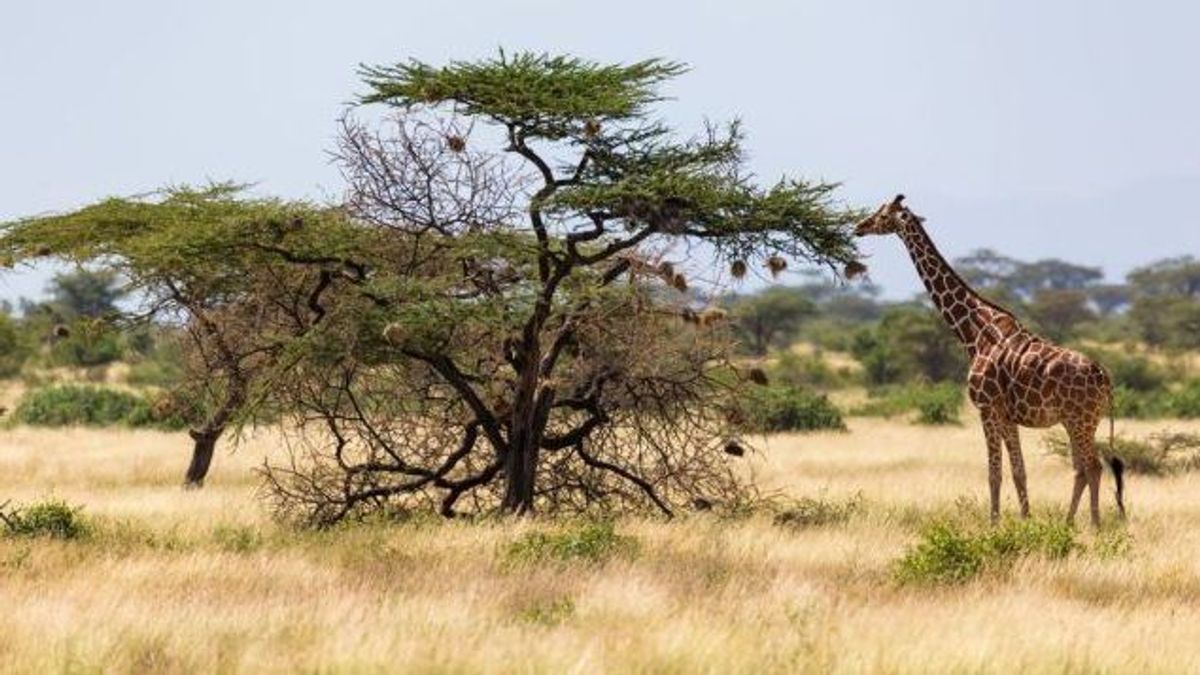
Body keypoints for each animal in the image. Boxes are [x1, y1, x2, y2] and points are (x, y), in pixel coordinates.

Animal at [854, 194, 1123, 526]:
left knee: (1092, 466)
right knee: (1081, 468)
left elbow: (994, 474)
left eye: (882, 215)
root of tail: (1105, 377)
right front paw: (1025, 521)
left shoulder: (987, 408)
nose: (858, 227)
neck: (974, 333)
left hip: (1079, 419)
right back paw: (1068, 522)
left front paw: (993, 525)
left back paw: (1094, 525)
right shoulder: (1007, 415)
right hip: (1082, 420)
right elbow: (1019, 472)